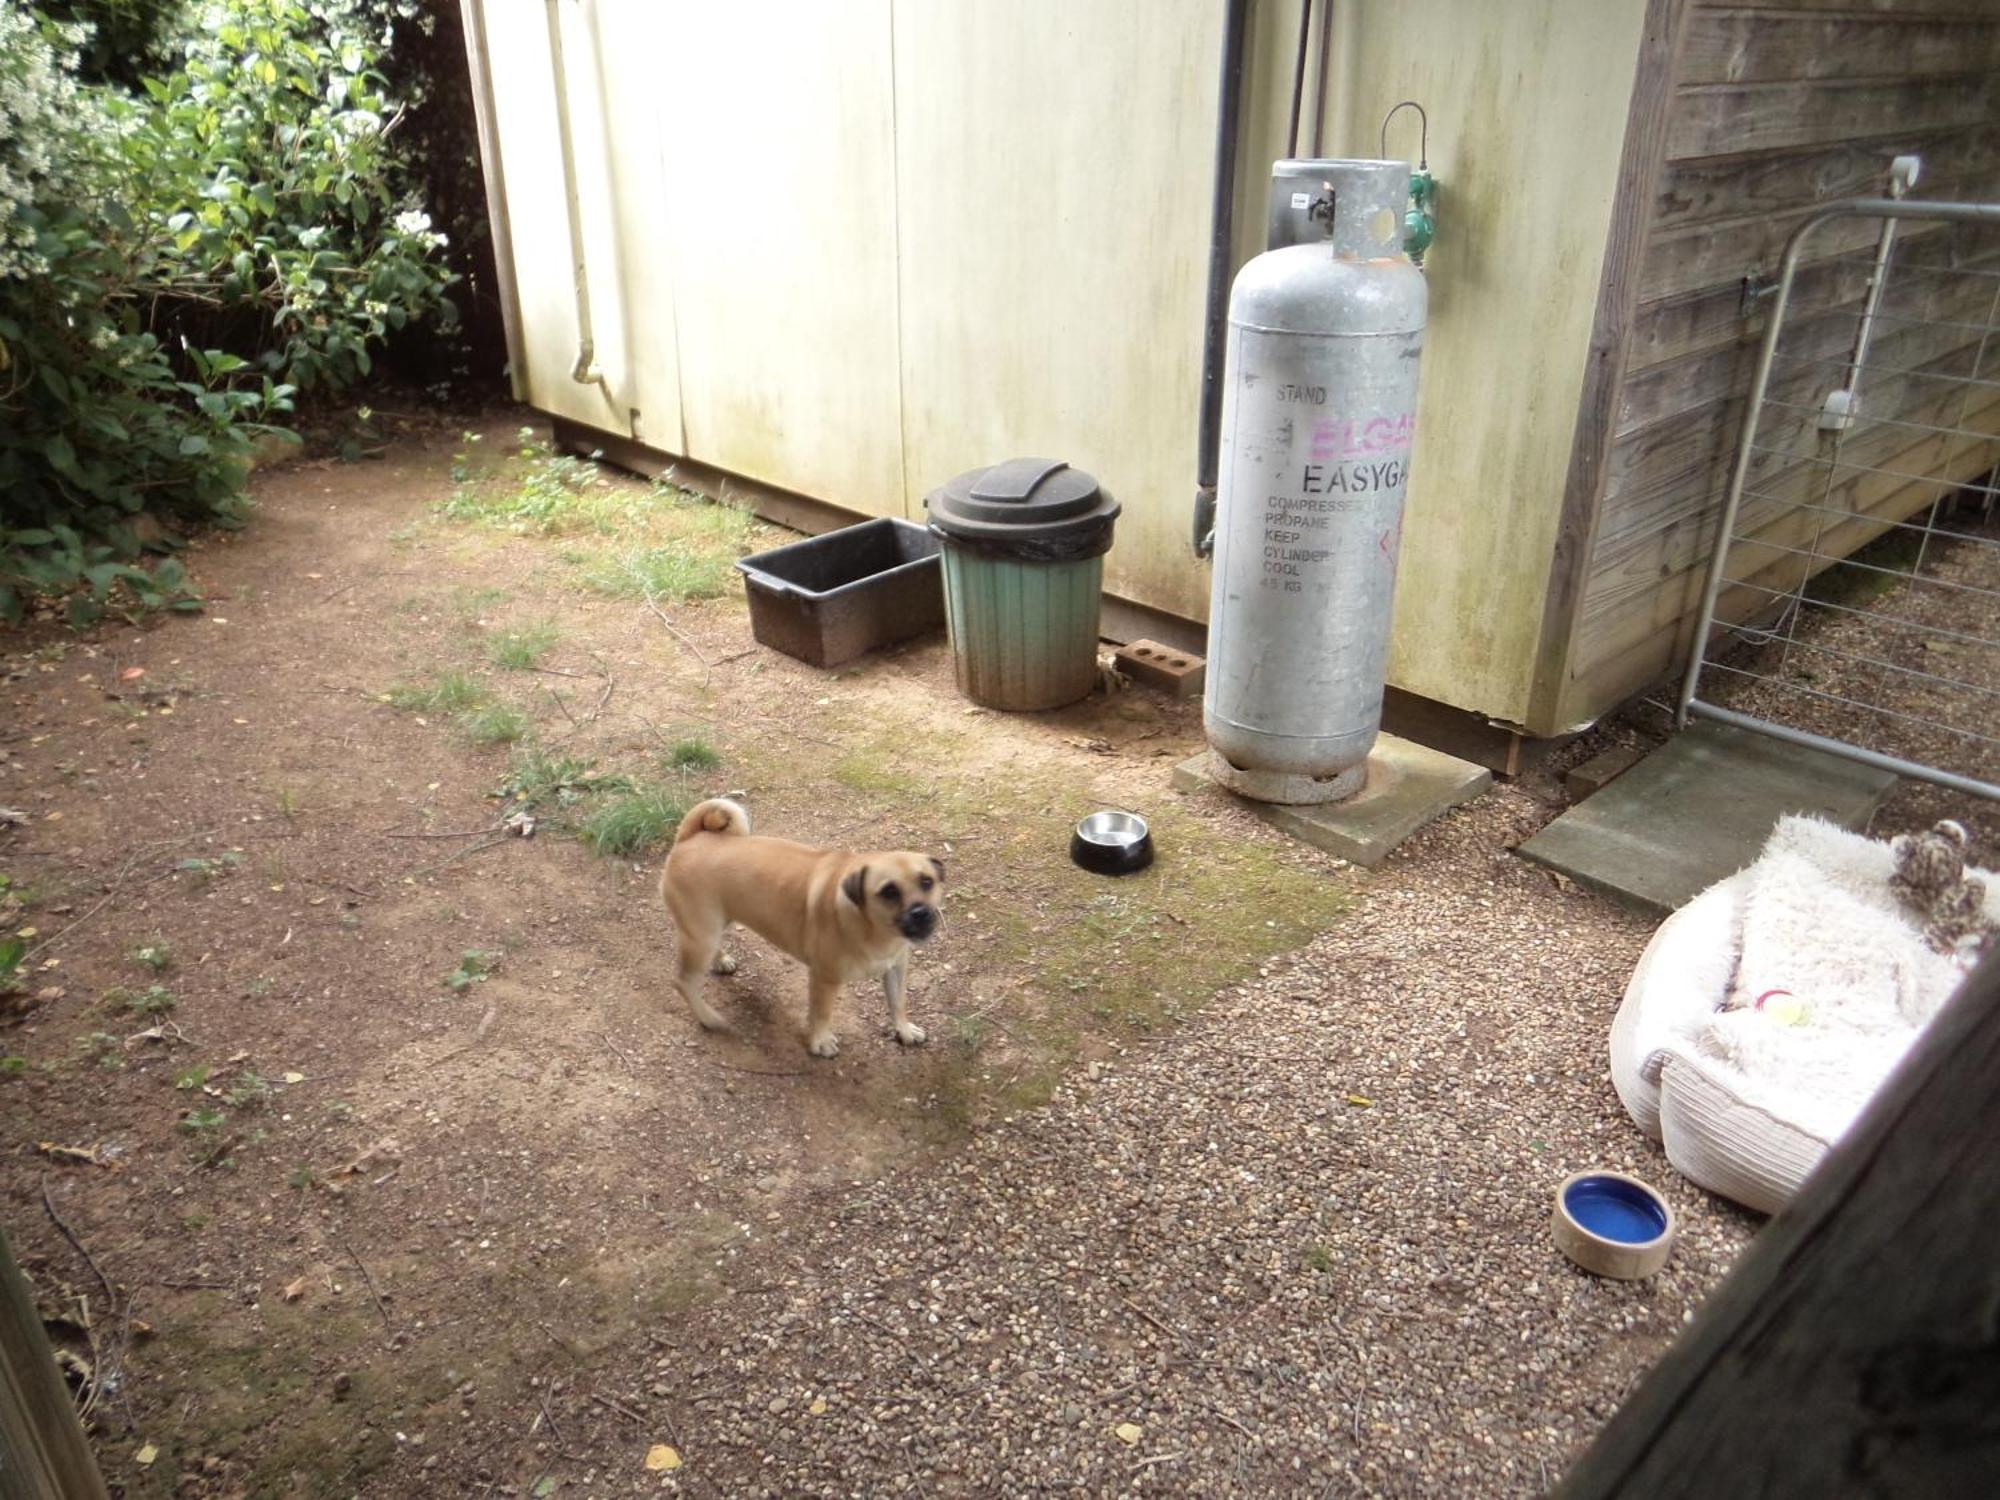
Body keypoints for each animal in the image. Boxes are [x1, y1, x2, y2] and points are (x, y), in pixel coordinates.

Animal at [656, 800, 936, 1056]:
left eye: (927, 882)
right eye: (889, 892)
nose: (921, 913)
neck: (872, 927)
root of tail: (689, 839)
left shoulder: (896, 968)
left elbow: (898, 1002)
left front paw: (904, 1030)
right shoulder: (824, 979)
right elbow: (821, 1014)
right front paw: (820, 1042)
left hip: (713, 927)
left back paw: (722, 961)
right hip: (700, 937)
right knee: (683, 982)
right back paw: (708, 1018)